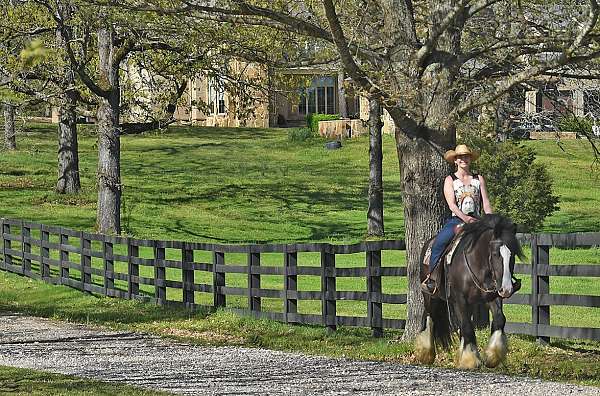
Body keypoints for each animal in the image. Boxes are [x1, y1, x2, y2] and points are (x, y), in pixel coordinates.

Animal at [414, 213, 524, 368]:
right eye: (495, 254)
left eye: (512, 254)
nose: (507, 289)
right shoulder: (460, 299)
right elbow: (467, 326)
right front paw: (470, 359)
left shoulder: (492, 296)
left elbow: (499, 319)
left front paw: (493, 356)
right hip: (430, 295)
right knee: (430, 316)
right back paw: (426, 353)